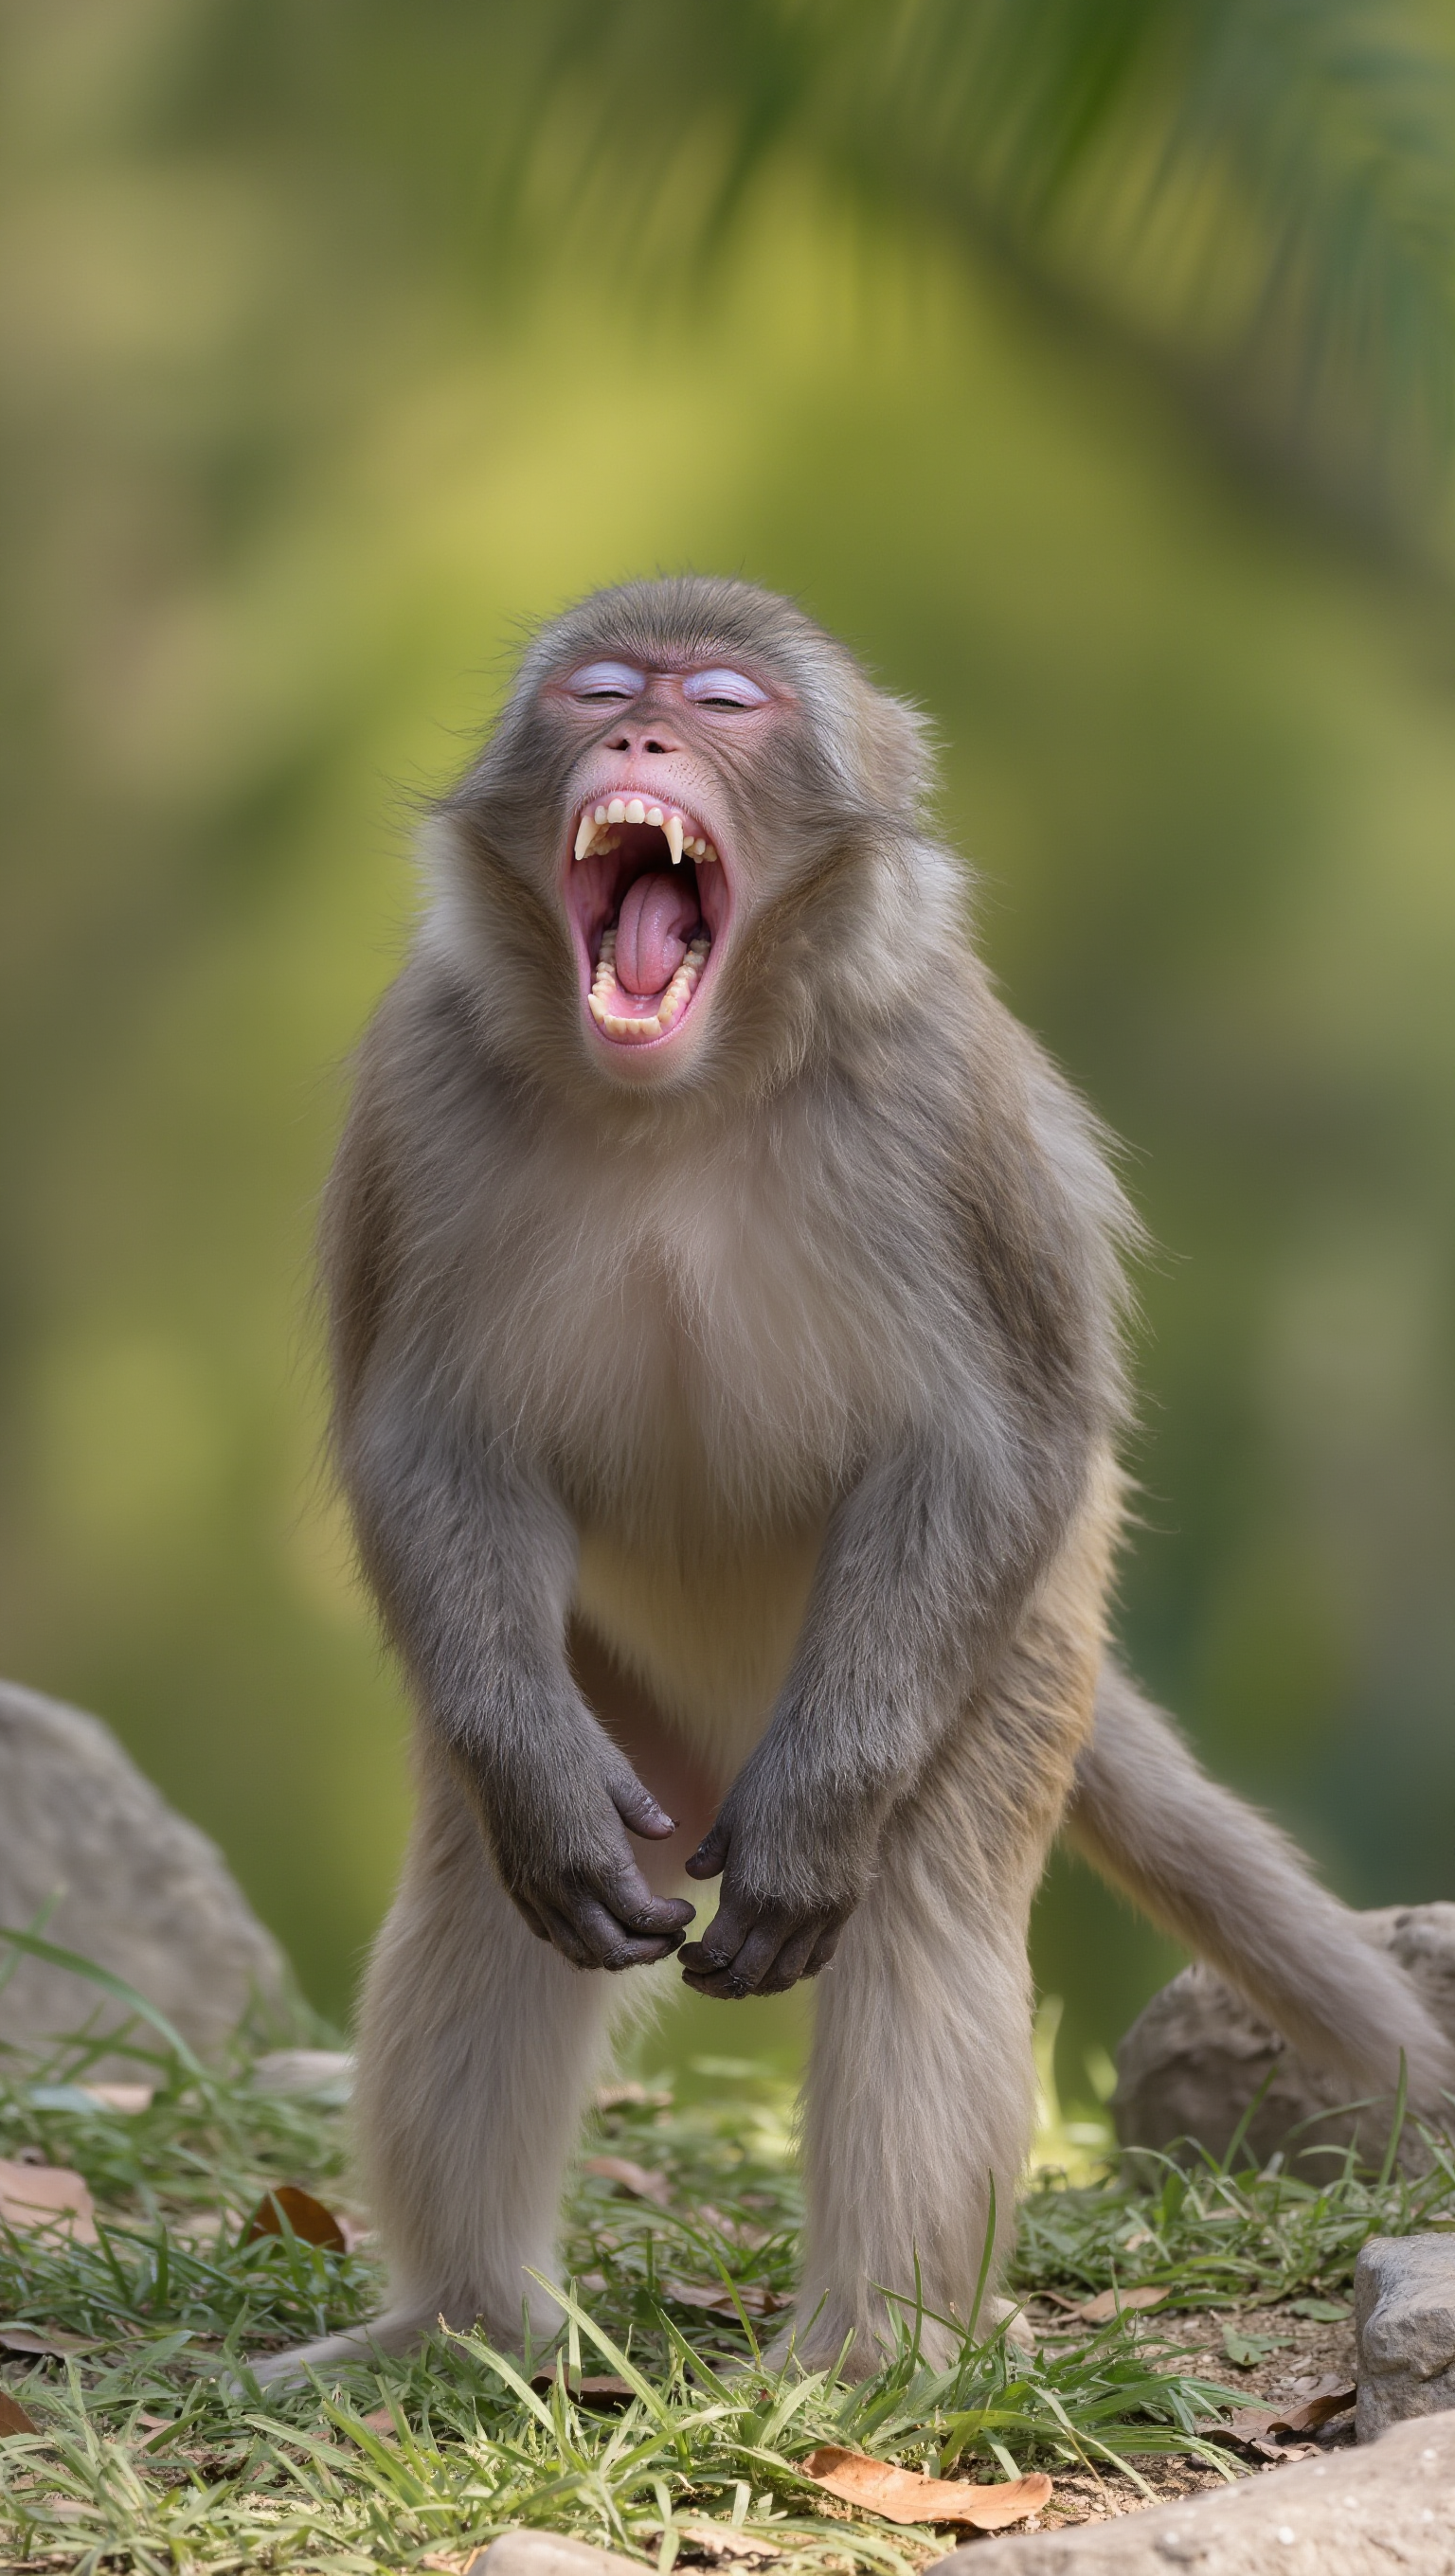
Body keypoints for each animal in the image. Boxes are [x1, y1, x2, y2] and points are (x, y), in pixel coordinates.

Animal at [255, 576, 1453, 2387]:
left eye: (722, 703)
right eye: (600, 688)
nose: (639, 735)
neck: (684, 1091)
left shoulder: (943, 1102)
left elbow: (994, 1440)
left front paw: (822, 1833)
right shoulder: (421, 1085)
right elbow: (424, 1441)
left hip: (992, 1663)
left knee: (926, 1913)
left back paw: (864, 2355)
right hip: (622, 1707)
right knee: (485, 1898)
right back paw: (460, 2324)